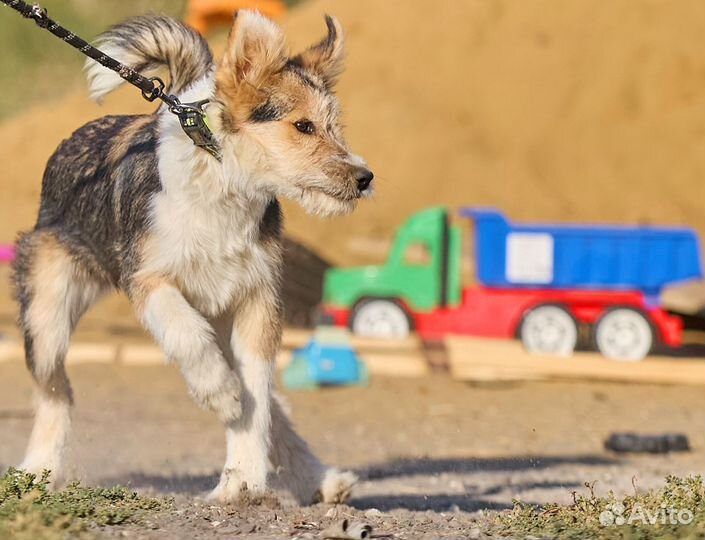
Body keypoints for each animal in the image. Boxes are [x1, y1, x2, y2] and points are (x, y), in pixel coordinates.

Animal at [13, 10, 372, 504]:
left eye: (335, 126)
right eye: (303, 126)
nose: (365, 178)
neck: (223, 185)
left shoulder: (259, 299)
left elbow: (257, 400)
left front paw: (242, 478)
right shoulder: (148, 281)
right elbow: (188, 338)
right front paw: (220, 396)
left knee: (271, 403)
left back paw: (319, 478)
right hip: (47, 314)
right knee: (56, 390)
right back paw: (39, 470)